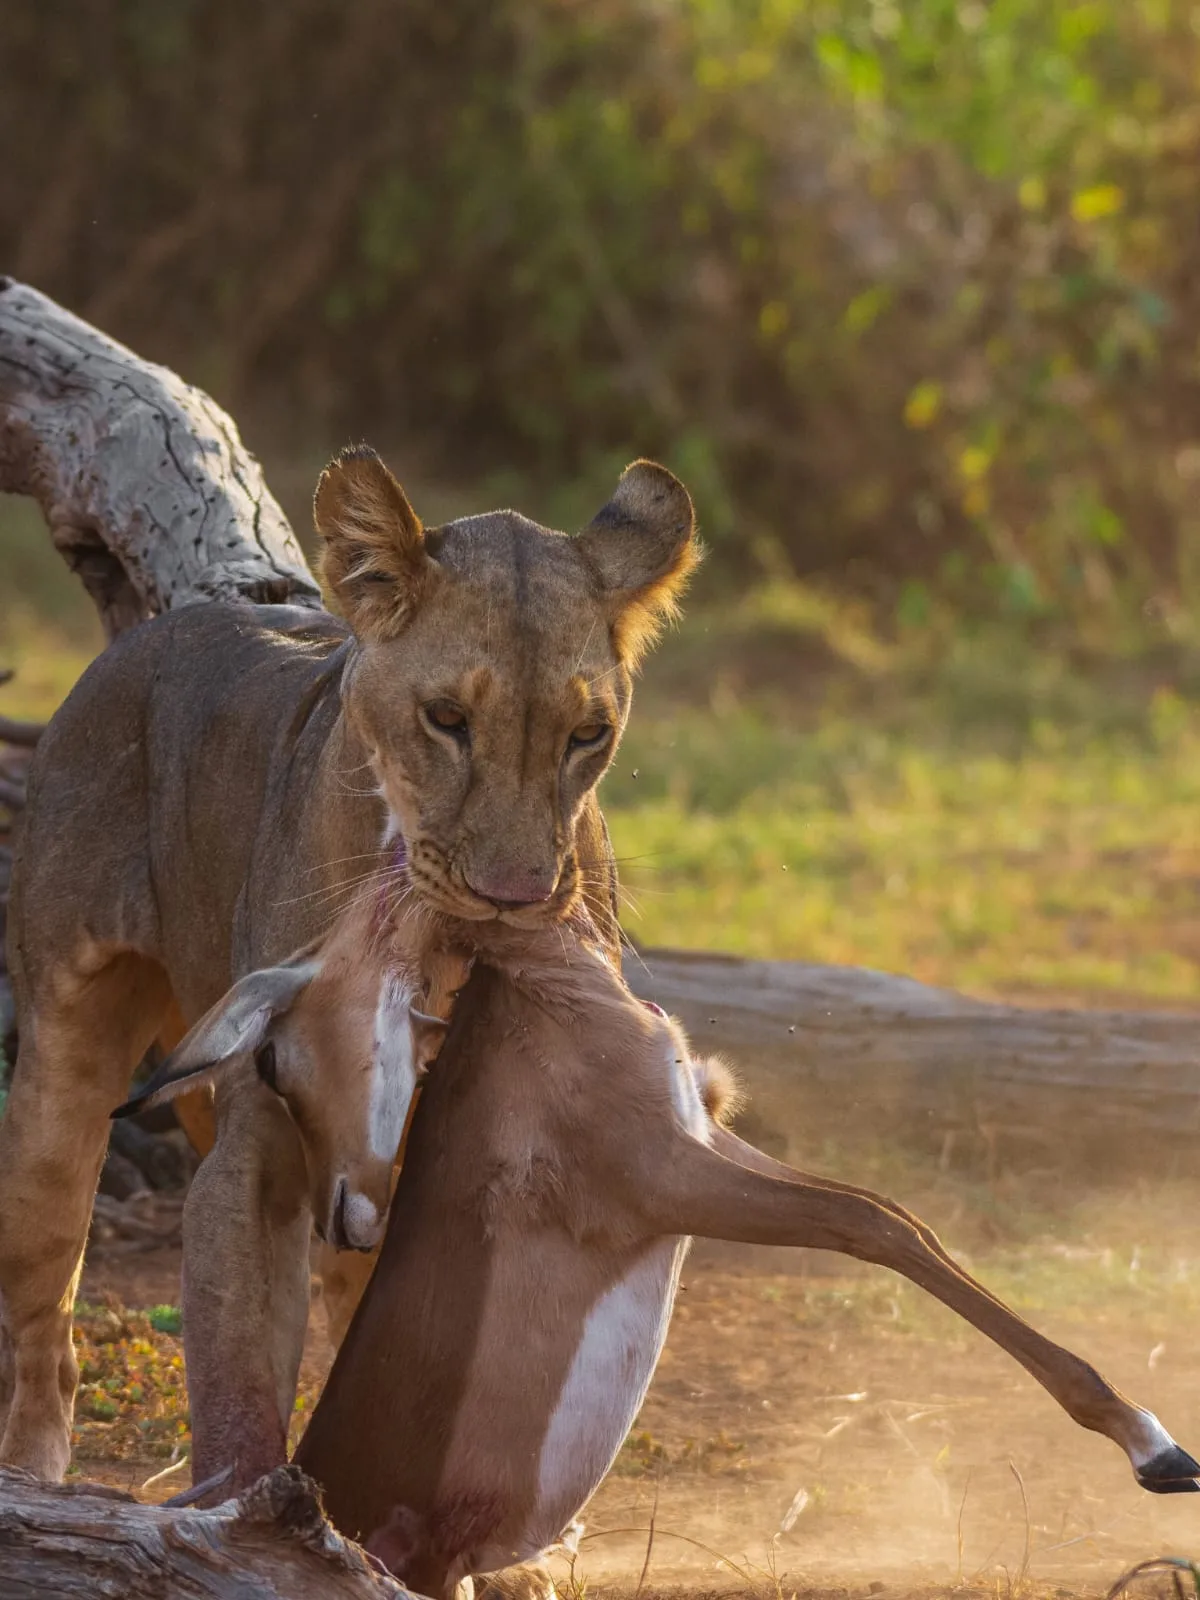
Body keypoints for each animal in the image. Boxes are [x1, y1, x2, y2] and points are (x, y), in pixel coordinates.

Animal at [0, 446, 698, 1490]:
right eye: (446, 718)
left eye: (588, 736)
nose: (514, 897)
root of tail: (135, 643)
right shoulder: (261, 1145)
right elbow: (241, 1373)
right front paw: (250, 1513)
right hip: (59, 1063)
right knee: (46, 1311)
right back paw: (36, 1474)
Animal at [291, 919, 1200, 1599]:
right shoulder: (671, 1180)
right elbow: (873, 1226)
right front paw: (1155, 1449)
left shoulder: (703, 1136)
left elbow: (894, 1212)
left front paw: (1158, 1445)